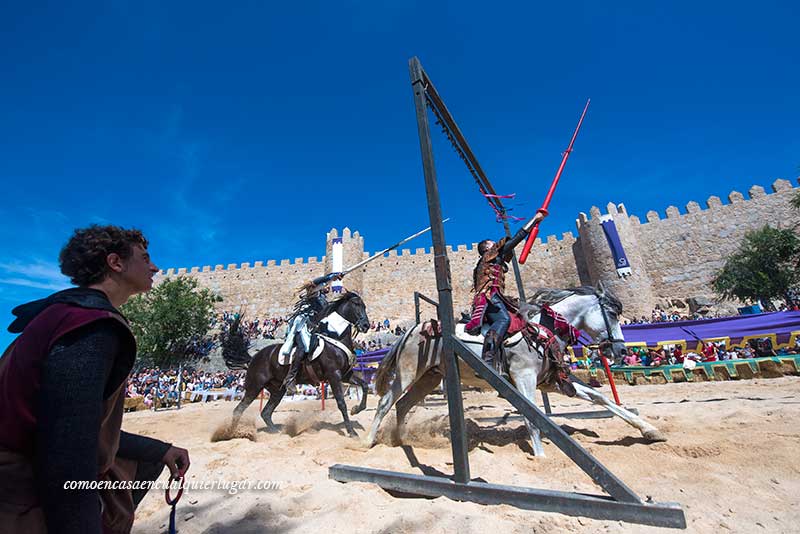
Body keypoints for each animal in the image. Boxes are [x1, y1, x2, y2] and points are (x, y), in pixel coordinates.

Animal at [230, 294, 370, 440]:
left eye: (364, 306)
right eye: (356, 304)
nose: (366, 325)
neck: (336, 339)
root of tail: (253, 358)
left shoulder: (345, 376)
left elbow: (365, 385)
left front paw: (356, 409)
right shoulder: (334, 376)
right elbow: (342, 403)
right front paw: (352, 432)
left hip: (277, 390)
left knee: (265, 413)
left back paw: (278, 432)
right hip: (254, 387)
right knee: (238, 410)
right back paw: (231, 433)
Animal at [366, 286, 664, 458]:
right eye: (611, 314)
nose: (621, 350)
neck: (543, 330)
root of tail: (411, 330)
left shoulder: (551, 382)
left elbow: (601, 398)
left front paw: (649, 430)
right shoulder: (524, 379)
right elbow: (532, 416)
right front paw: (541, 456)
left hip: (429, 378)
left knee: (403, 405)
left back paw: (402, 440)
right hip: (408, 373)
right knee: (385, 403)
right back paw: (368, 440)